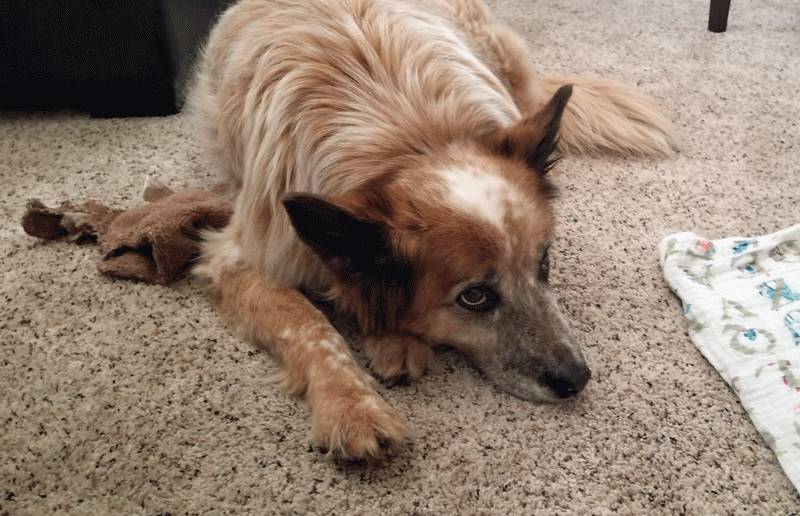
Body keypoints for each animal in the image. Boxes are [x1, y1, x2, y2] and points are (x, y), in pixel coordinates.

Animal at [188, 0, 679, 459]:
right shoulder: (238, 256)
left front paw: (389, 340)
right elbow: (308, 326)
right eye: (474, 297)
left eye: (544, 264)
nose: (577, 379)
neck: (411, 142)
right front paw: (351, 406)